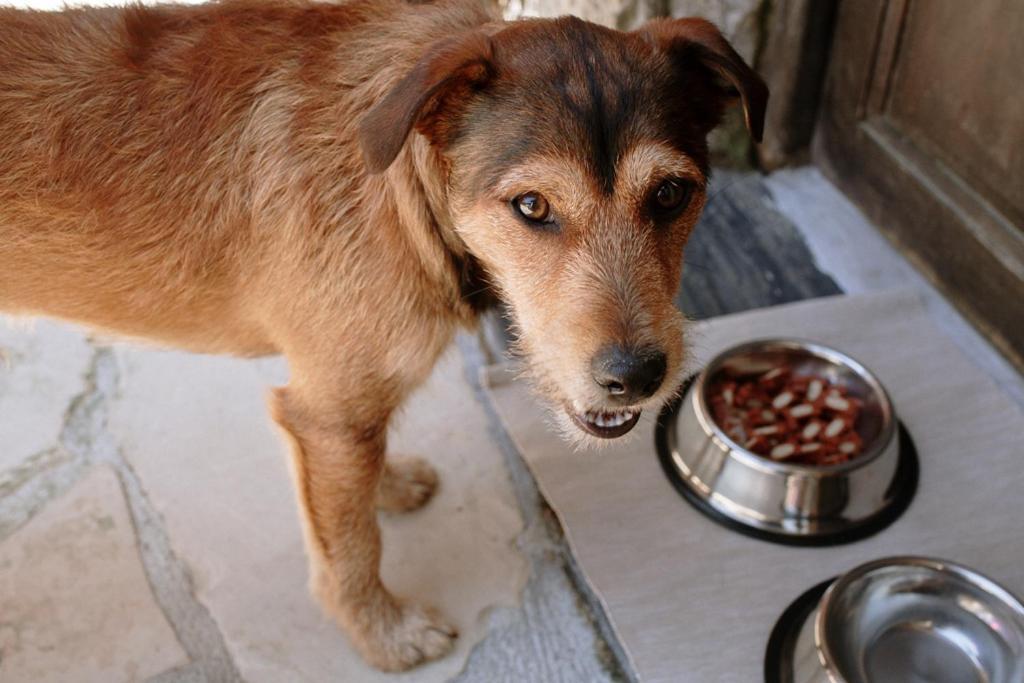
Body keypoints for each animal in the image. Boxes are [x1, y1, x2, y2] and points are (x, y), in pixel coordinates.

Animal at [0, 0, 770, 671]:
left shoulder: (344, 411)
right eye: (531, 205)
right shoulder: (327, 413)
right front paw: (383, 634)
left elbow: (355, 486)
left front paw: (388, 485)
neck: (402, 186)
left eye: (669, 193)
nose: (637, 375)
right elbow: (351, 545)